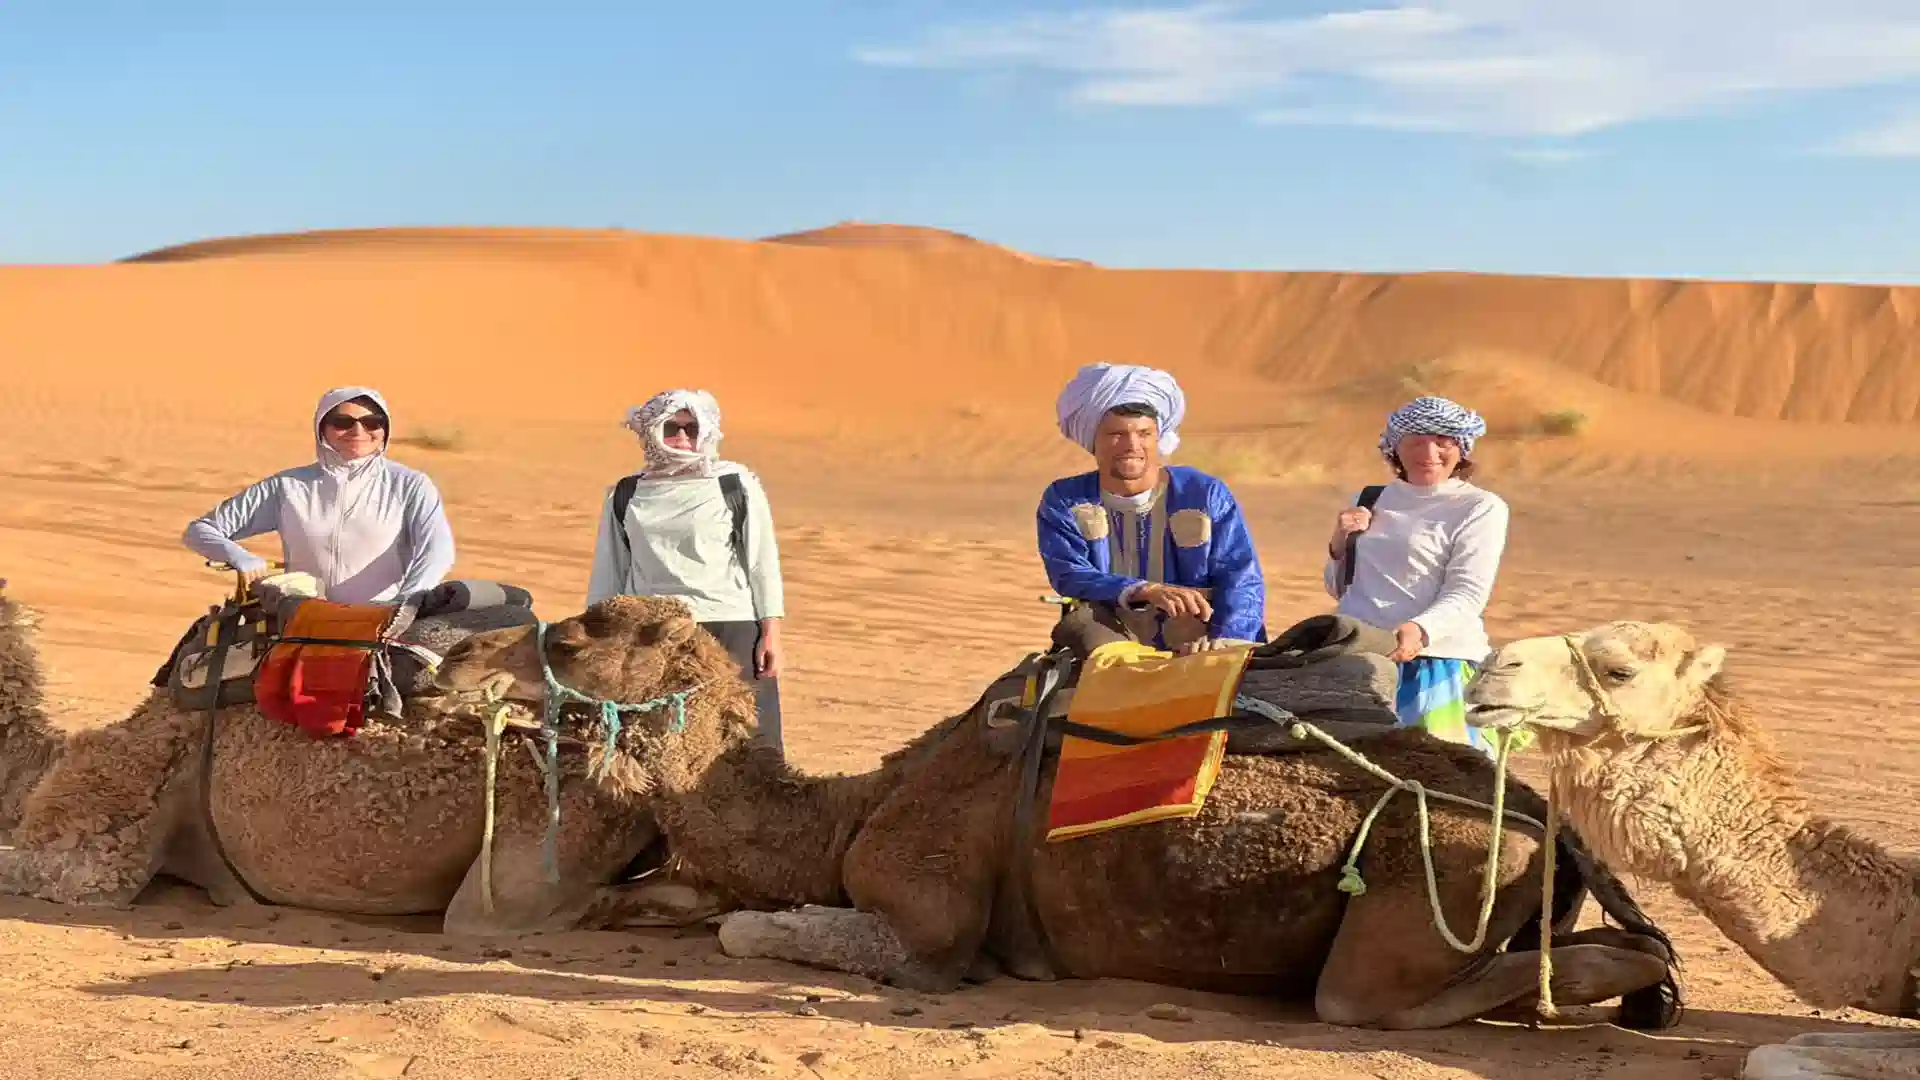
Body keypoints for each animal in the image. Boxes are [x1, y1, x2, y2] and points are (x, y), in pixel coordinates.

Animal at [435, 593, 1686, 1030]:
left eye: (577, 632)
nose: (453, 658)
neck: (855, 809)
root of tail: (1550, 823)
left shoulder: (931, 924)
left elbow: (757, 929)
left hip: (1429, 893)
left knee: (1368, 1000)